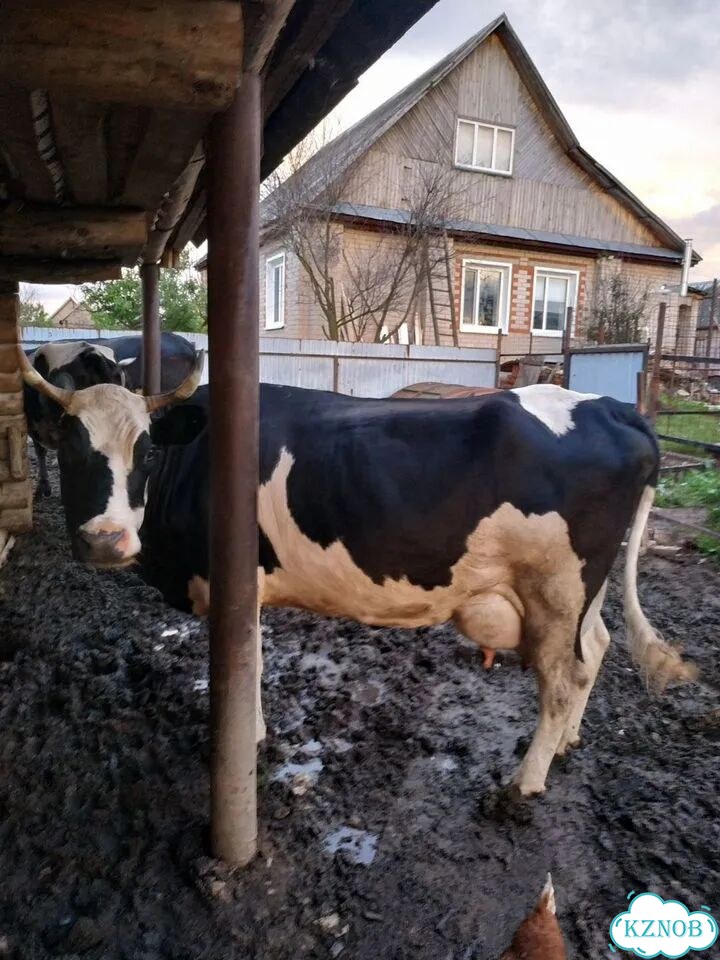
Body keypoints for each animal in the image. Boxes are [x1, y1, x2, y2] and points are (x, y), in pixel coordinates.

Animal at [19, 350, 697, 801]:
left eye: (147, 451)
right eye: (72, 451)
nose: (106, 539)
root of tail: (613, 408)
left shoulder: (235, 583)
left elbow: (245, 666)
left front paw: (244, 740)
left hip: (557, 588)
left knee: (563, 677)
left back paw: (525, 783)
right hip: (586, 588)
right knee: (597, 649)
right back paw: (567, 744)